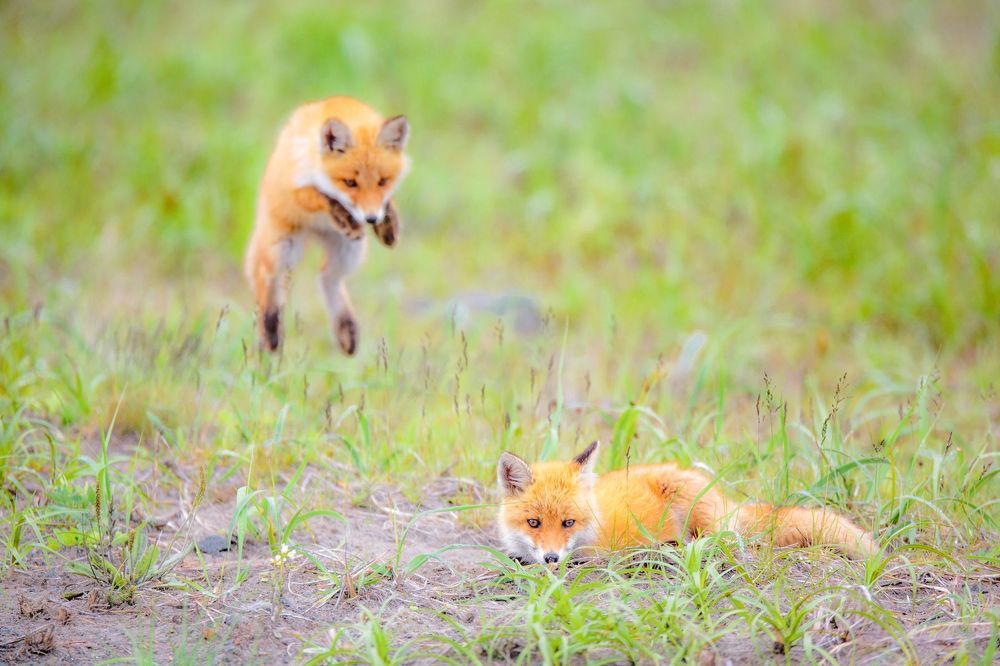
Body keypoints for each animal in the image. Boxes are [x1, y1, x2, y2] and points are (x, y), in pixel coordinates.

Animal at [244, 96, 410, 354]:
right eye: (350, 182)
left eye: (383, 181)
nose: (370, 219)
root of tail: (316, 232)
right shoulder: (297, 189)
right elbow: (324, 198)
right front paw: (346, 214)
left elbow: (386, 203)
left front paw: (388, 226)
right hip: (284, 250)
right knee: (266, 279)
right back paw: (271, 330)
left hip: (349, 251)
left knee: (326, 277)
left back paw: (346, 328)